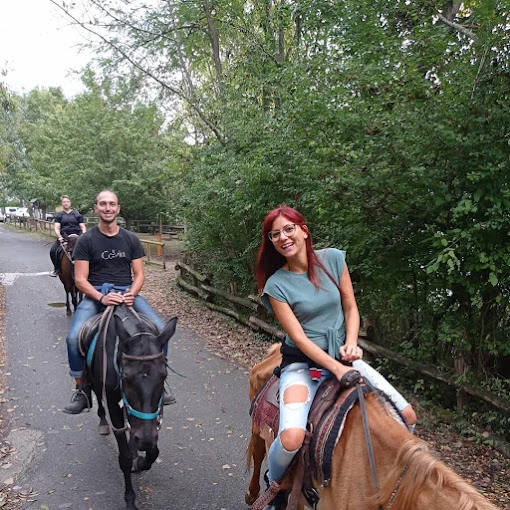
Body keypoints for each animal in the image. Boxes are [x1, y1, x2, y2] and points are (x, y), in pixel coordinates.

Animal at [80, 303, 177, 510]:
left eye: (164, 375)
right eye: (126, 377)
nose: (145, 439)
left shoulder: (155, 409)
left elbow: (153, 450)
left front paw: (140, 460)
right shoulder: (113, 403)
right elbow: (124, 457)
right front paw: (130, 500)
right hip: (95, 383)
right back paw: (103, 422)